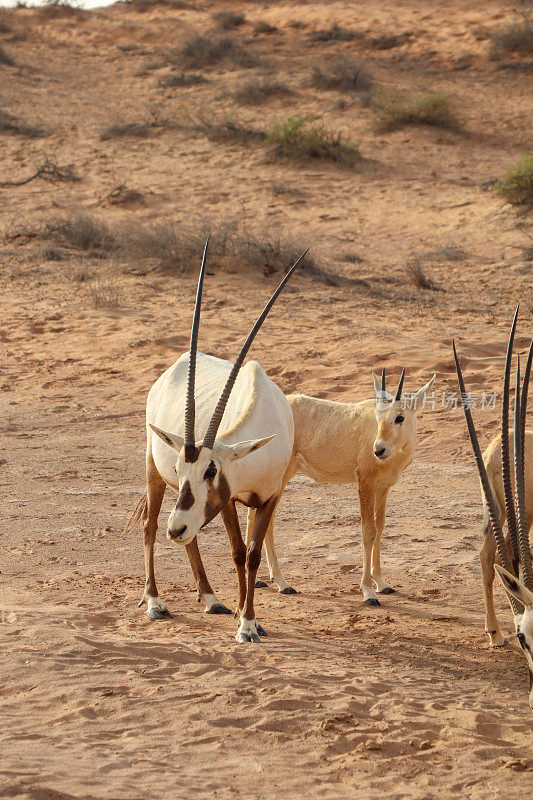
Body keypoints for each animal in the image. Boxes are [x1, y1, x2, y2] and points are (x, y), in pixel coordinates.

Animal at [247, 372, 434, 604]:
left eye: (400, 417)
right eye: (379, 417)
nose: (378, 450)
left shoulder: (383, 487)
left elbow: (380, 527)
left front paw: (382, 583)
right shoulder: (365, 482)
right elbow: (368, 530)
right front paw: (368, 591)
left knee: (259, 517)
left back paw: (264, 579)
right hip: (280, 477)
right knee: (261, 518)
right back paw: (282, 583)